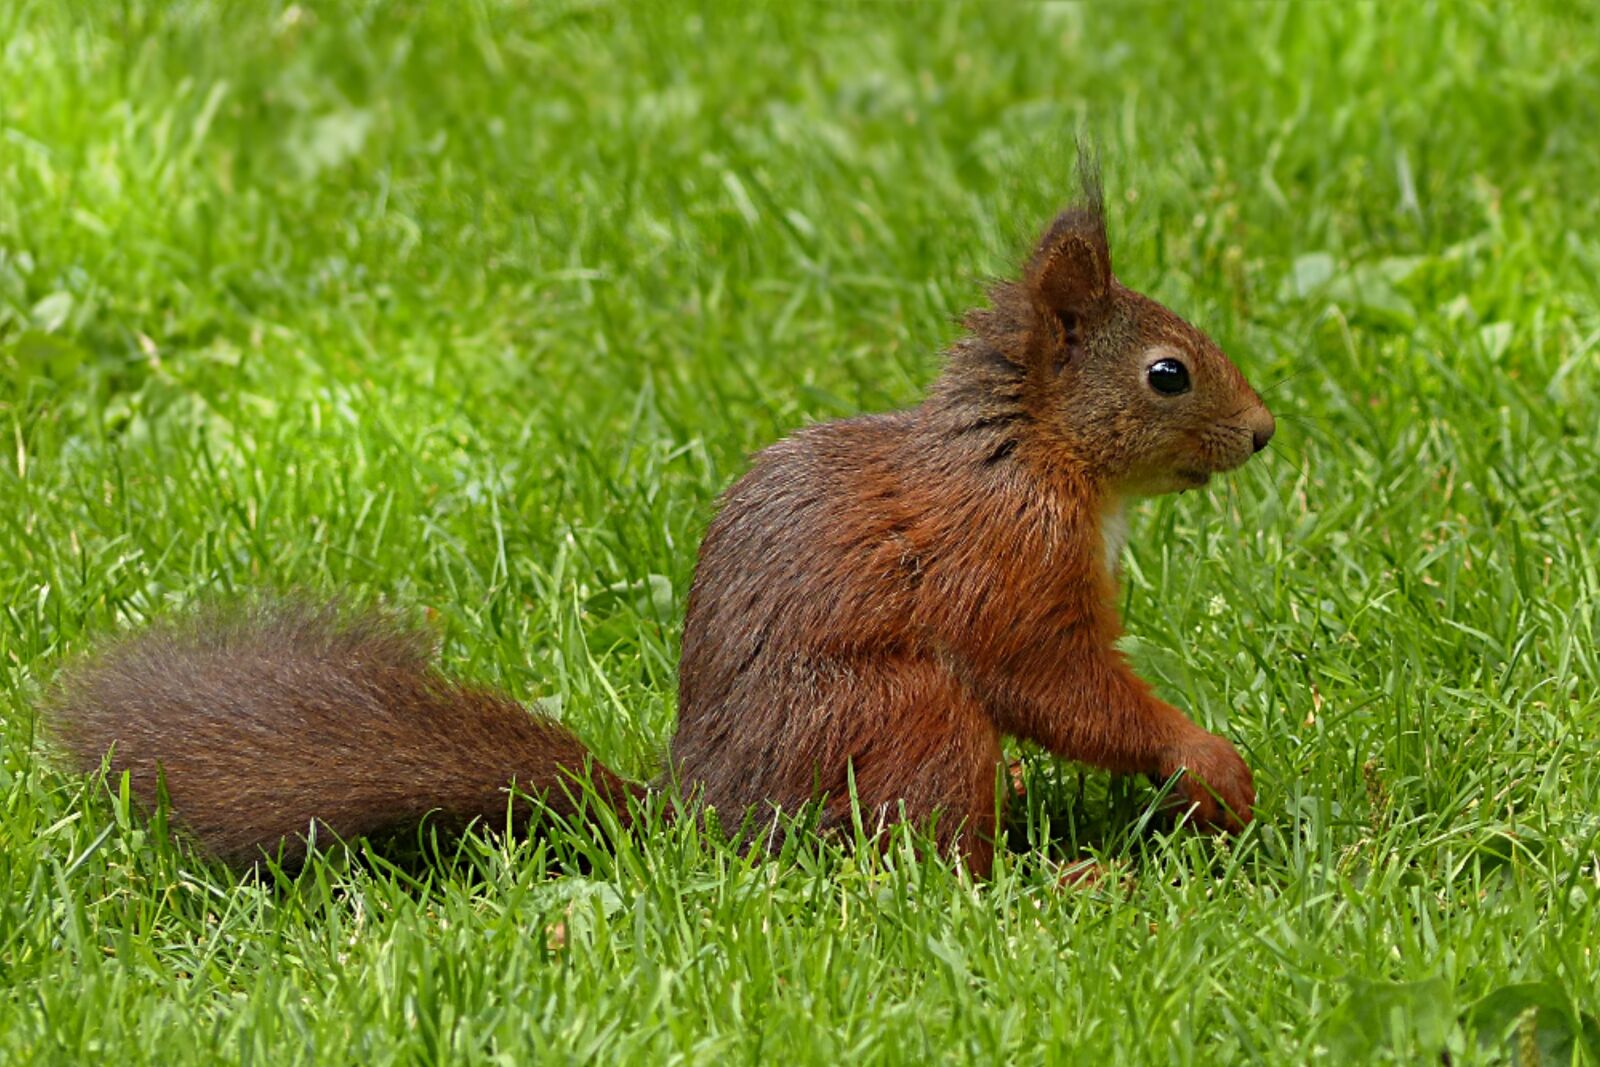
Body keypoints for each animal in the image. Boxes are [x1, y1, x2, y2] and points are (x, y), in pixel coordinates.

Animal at [45, 161, 1275, 876]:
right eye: (1168, 374)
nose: (1264, 433)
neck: (1036, 453)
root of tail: (705, 820)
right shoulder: (1006, 565)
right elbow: (1053, 681)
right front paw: (1202, 759)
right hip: (899, 717)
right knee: (921, 860)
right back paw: (1047, 877)